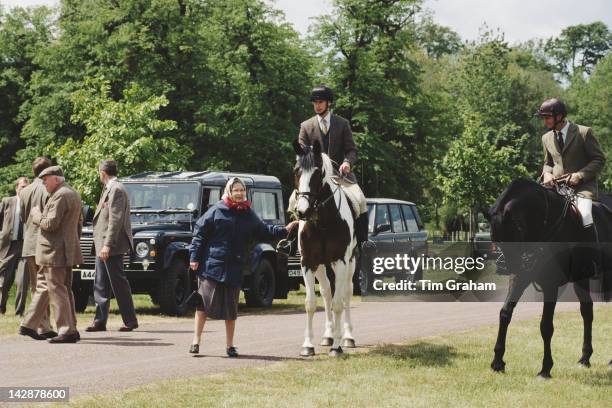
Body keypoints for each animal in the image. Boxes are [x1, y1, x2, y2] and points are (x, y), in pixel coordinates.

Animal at [488, 178, 612, 380]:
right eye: (496, 238)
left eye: (515, 231)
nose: (507, 267)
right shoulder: (520, 277)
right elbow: (505, 313)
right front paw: (497, 362)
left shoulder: (550, 284)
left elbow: (546, 326)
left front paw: (545, 369)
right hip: (581, 278)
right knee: (587, 311)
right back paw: (585, 358)